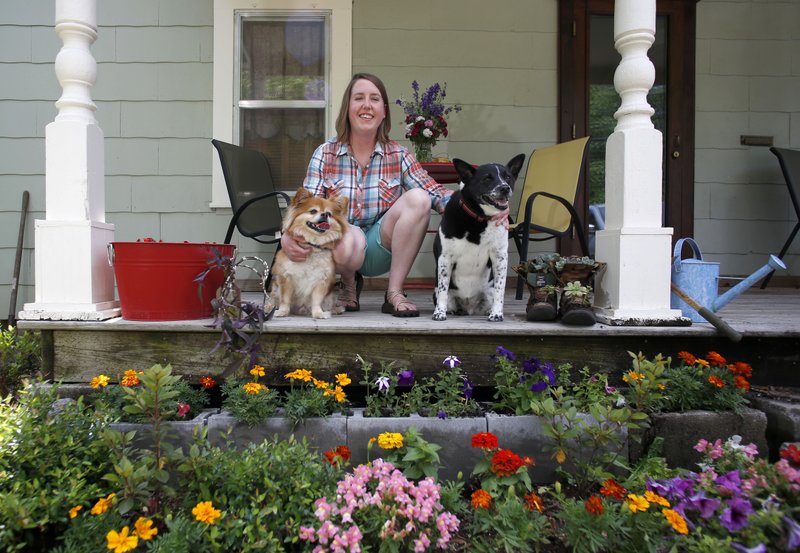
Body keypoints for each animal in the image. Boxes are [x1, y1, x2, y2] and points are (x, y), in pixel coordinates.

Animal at [272, 187, 346, 320]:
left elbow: (316, 300)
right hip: (275, 288)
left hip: (330, 296)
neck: (312, 245)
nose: (324, 214)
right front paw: (283, 312)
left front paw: (318, 313)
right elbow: (285, 299)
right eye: (313, 211)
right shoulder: (286, 278)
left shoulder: (321, 280)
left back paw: (334, 310)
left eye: (329, 214)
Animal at [432, 153, 524, 322]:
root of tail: (469, 307)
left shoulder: (500, 257)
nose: (504, 188)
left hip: (487, 292)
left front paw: (497, 313)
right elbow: (443, 289)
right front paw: (439, 313)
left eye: (507, 177)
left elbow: (500, 289)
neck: (479, 219)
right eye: (487, 178)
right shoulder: (445, 258)